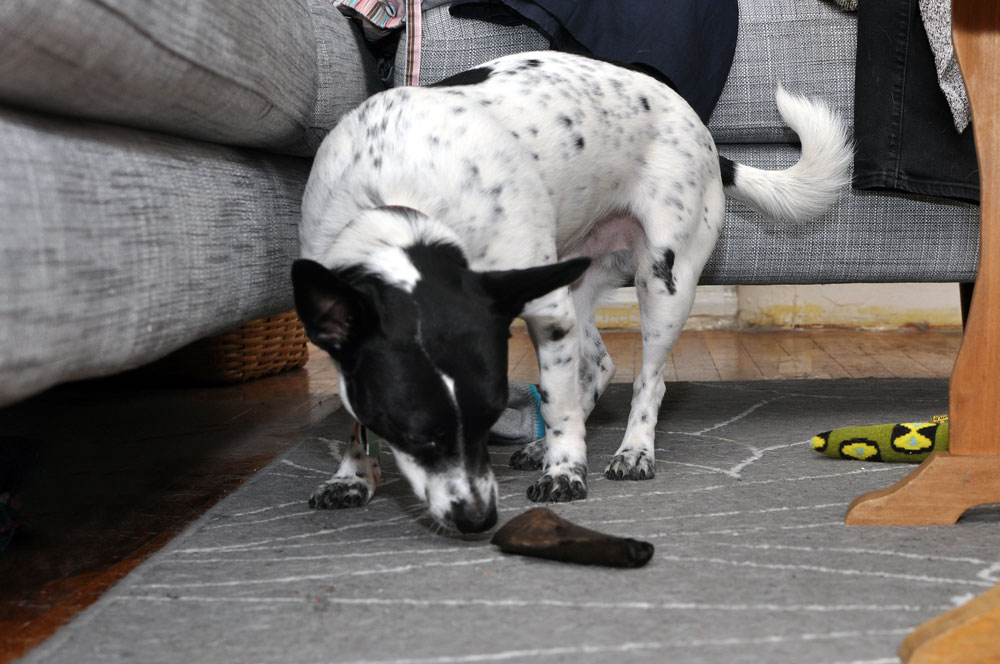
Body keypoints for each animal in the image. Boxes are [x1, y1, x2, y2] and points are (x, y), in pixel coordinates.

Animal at [292, 50, 852, 536]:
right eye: (411, 431)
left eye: (491, 414)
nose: (479, 518)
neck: (399, 197)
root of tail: (699, 124)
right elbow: (356, 422)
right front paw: (353, 476)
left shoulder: (548, 312)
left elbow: (558, 404)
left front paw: (564, 472)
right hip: (573, 279)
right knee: (598, 365)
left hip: (662, 281)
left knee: (649, 382)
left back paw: (633, 451)